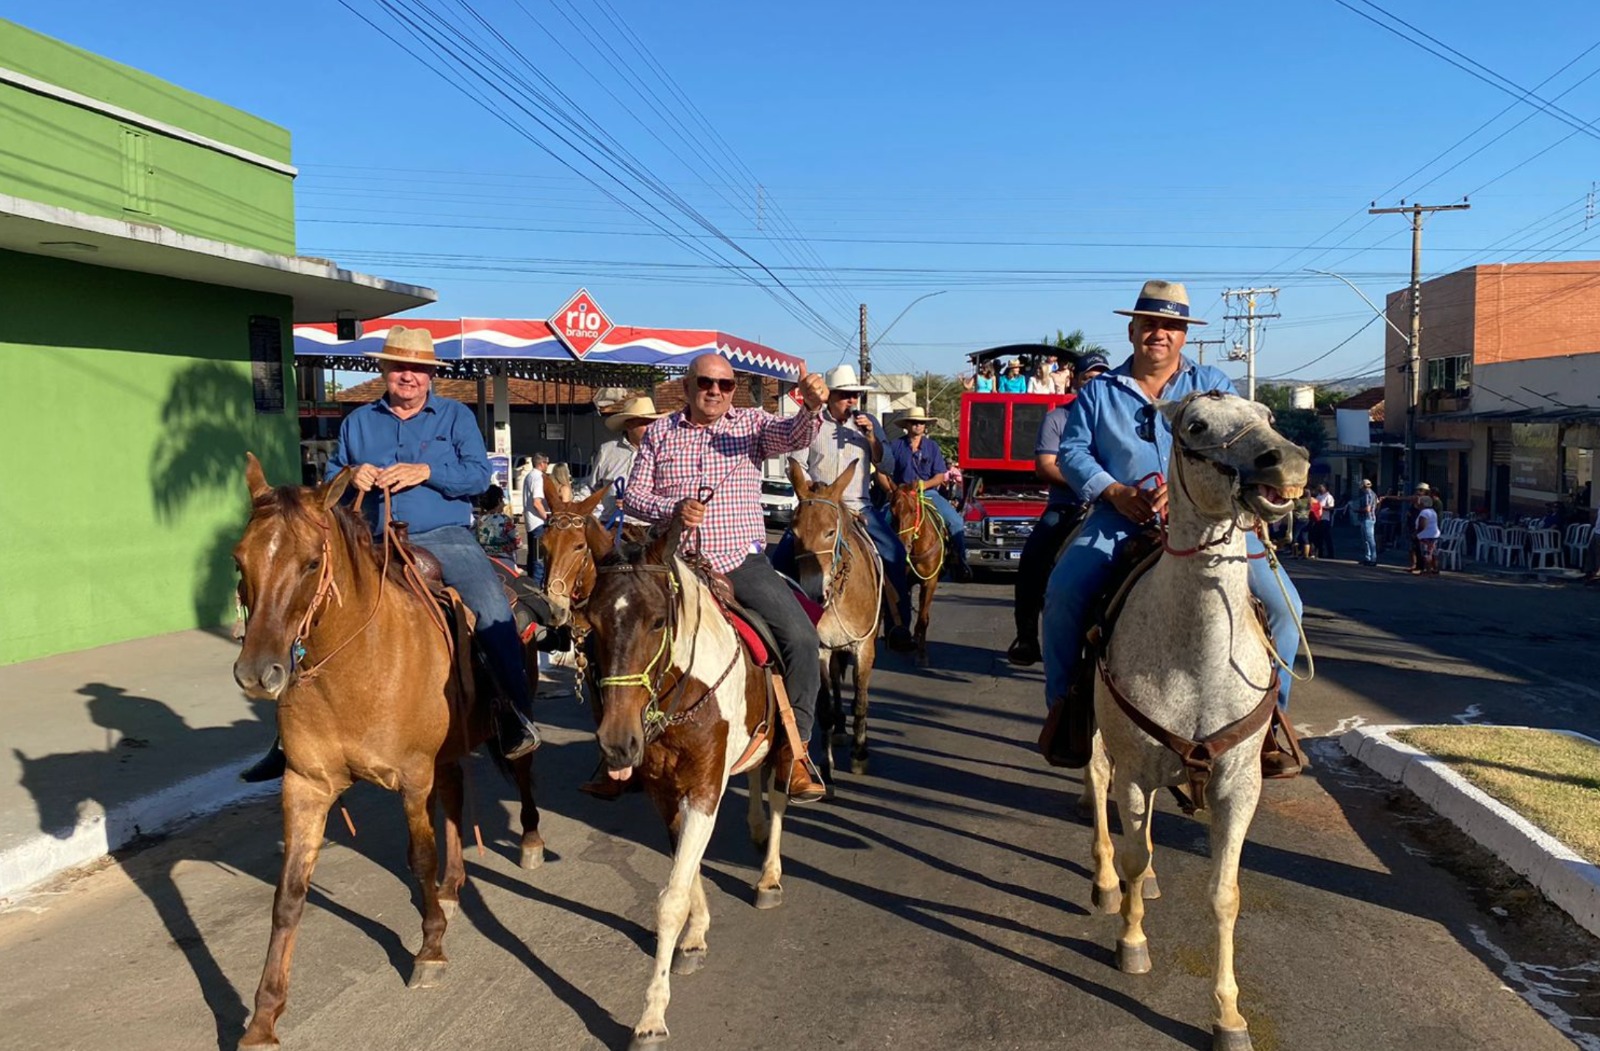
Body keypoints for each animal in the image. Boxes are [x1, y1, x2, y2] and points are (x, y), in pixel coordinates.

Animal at [232, 454, 544, 1049]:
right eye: (240, 559)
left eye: (311, 562)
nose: (259, 673)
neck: (354, 664)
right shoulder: (305, 785)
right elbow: (289, 895)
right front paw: (264, 1016)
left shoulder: (412, 776)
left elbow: (420, 855)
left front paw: (431, 949)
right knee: (456, 796)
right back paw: (452, 886)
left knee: (521, 774)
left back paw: (530, 842)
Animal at [585, 521, 790, 1043]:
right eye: (592, 624)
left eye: (658, 622)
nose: (617, 743)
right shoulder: (664, 792)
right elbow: (688, 867)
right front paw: (695, 937)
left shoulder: (703, 789)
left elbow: (672, 898)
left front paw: (652, 1017)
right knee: (754, 775)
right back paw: (755, 827)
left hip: (787, 743)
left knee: (778, 794)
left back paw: (769, 876)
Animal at [784, 460, 876, 777]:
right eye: (794, 533)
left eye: (830, 532)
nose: (813, 592)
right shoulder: (821, 649)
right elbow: (823, 708)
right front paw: (826, 768)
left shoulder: (864, 647)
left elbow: (861, 701)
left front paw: (860, 755)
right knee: (836, 679)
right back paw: (838, 729)